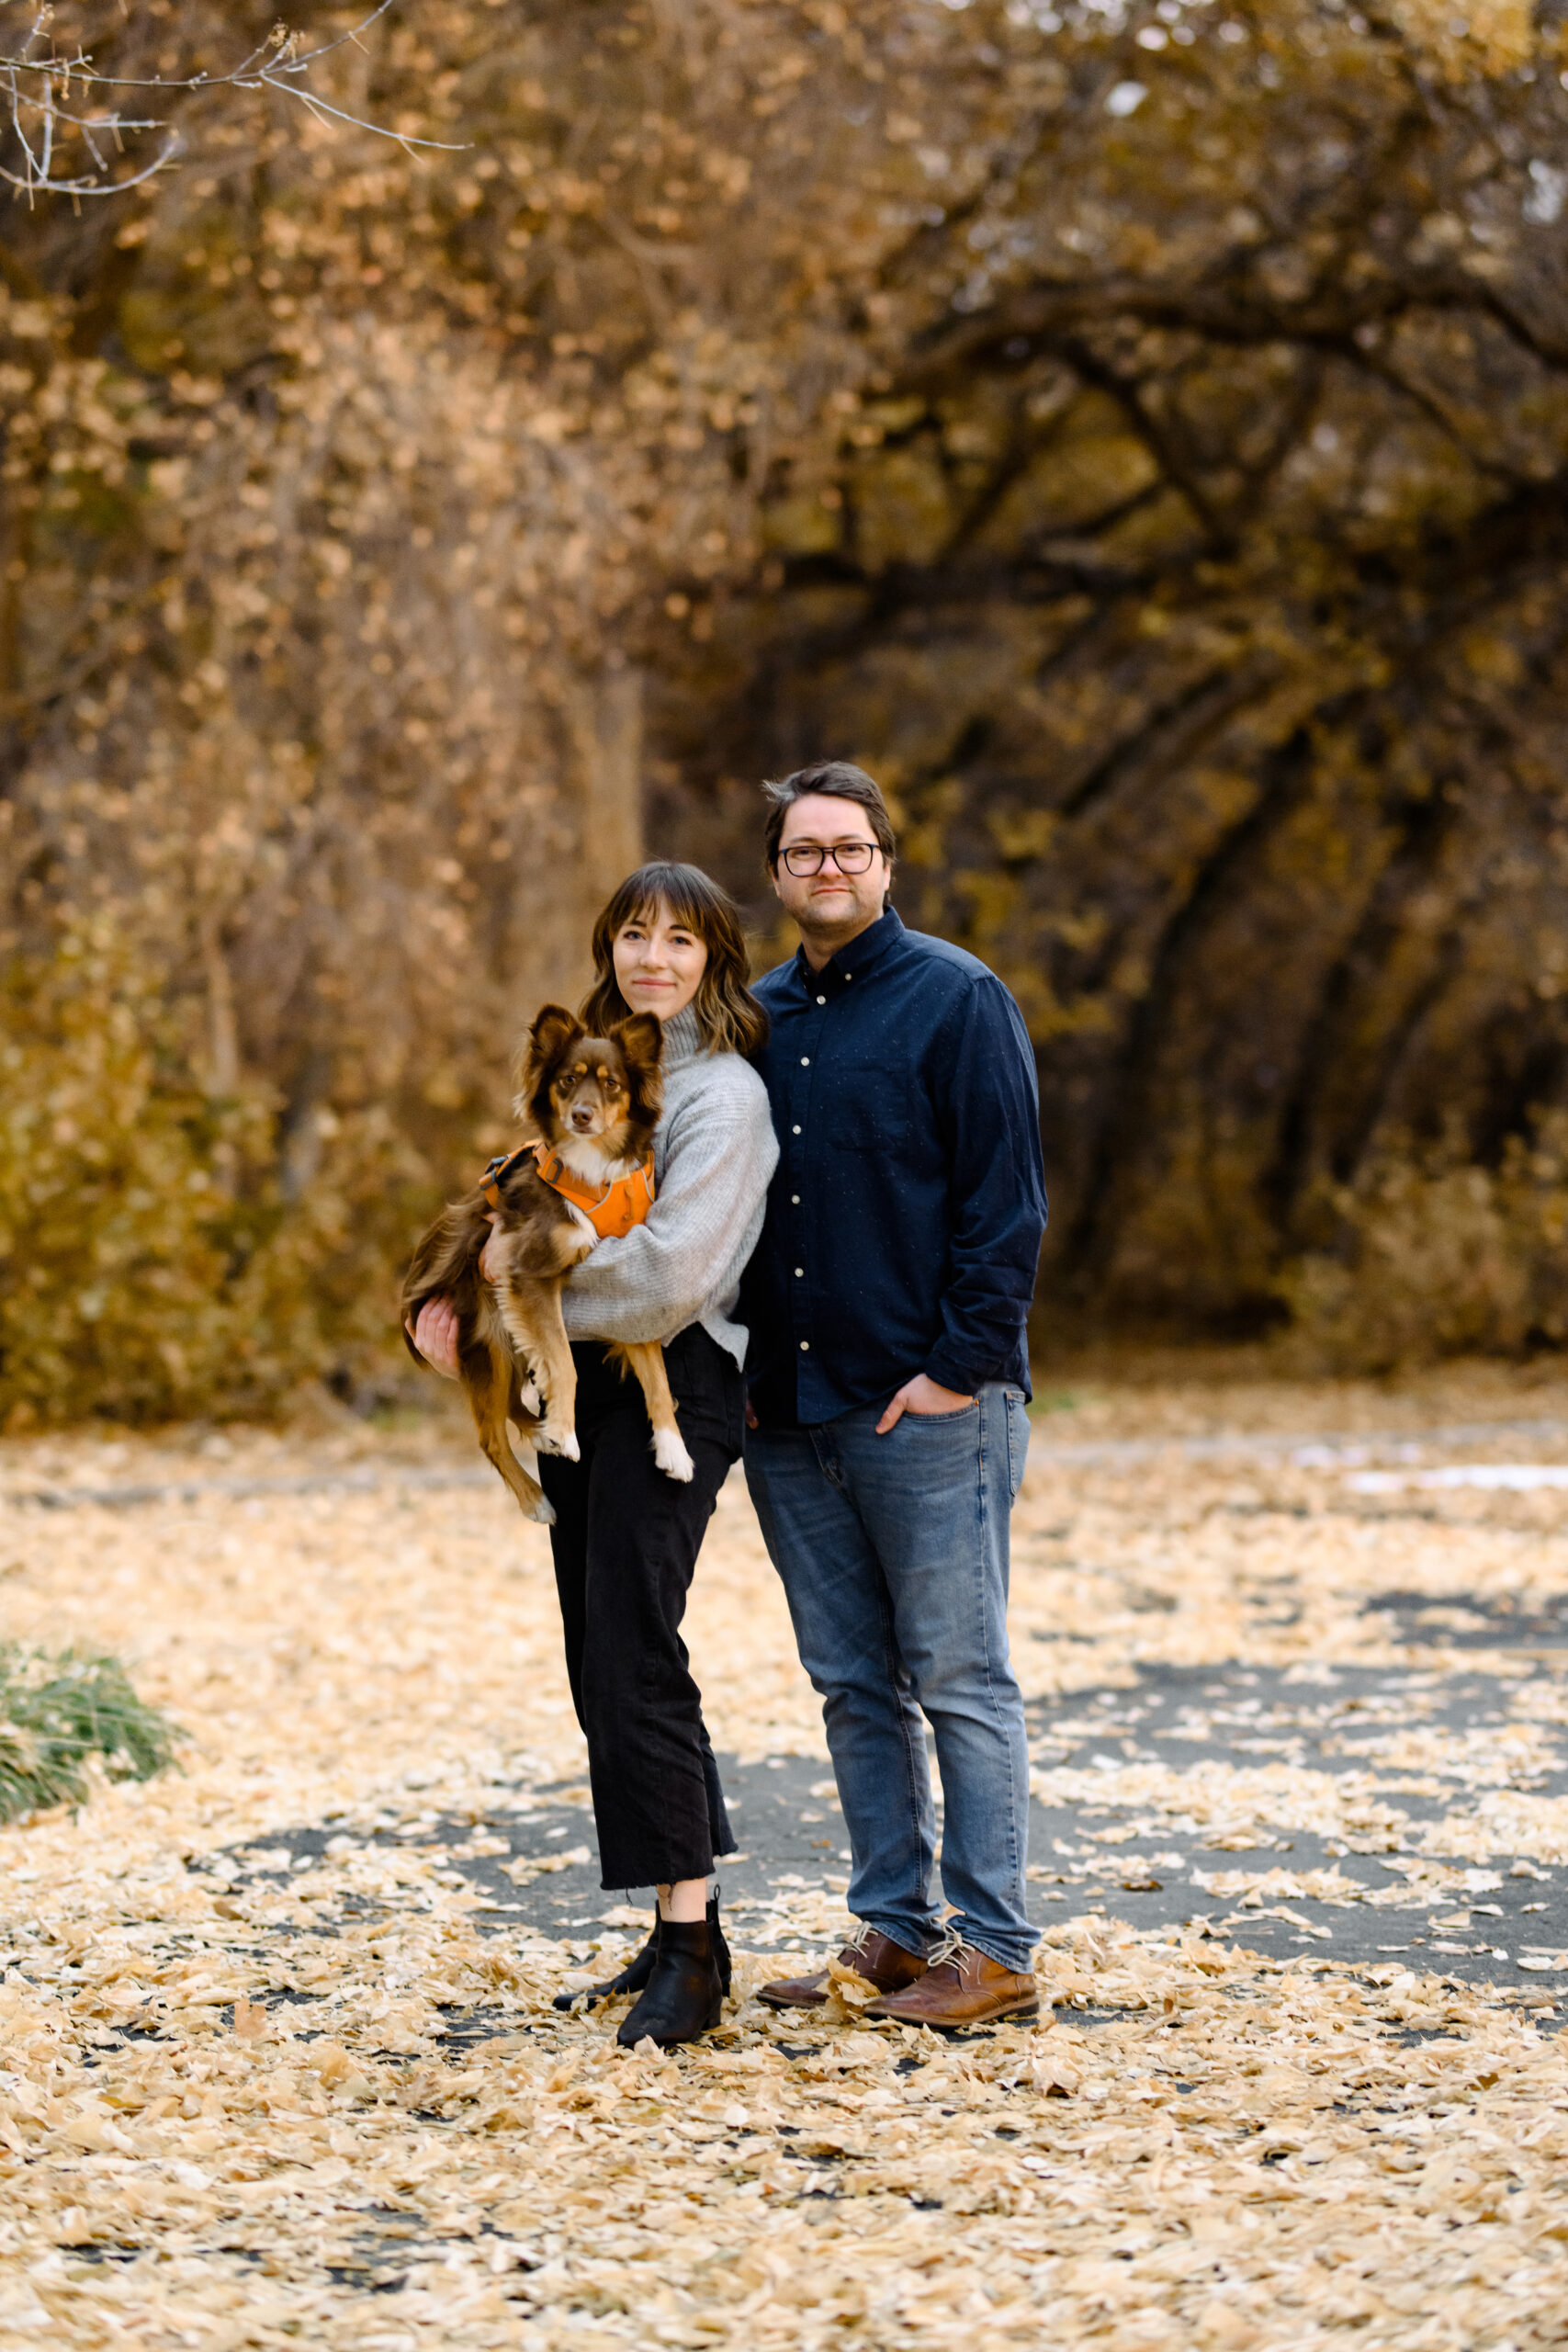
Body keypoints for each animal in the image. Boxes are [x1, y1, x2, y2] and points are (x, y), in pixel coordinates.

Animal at [401, 1006, 695, 1523]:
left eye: (612, 1084)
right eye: (567, 1080)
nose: (582, 1115)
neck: (590, 1170)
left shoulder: (631, 1290)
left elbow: (657, 1378)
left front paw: (673, 1449)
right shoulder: (530, 1275)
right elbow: (563, 1361)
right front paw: (564, 1430)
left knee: (512, 1407)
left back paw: (540, 1434)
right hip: (489, 1337)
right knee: (491, 1436)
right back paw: (535, 1495)